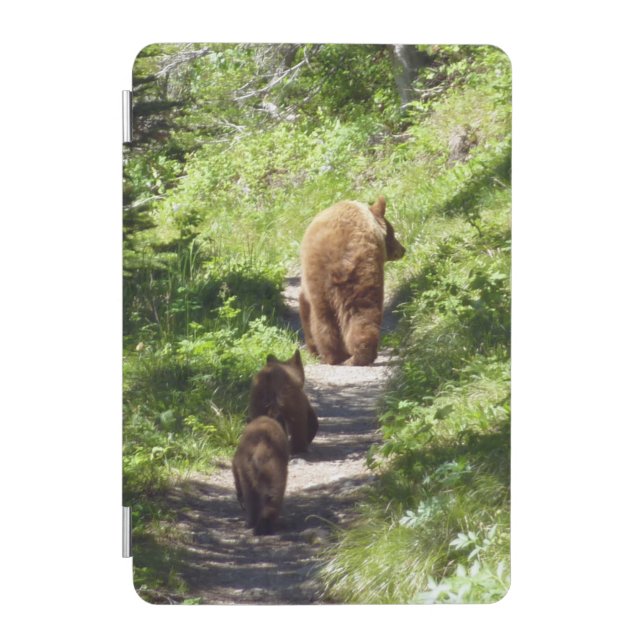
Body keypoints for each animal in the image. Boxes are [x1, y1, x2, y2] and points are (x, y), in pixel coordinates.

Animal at [299, 196, 405, 366]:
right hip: (360, 275)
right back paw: (357, 355)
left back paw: (334, 356)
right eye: (393, 232)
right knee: (362, 312)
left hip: (326, 278)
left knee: (325, 318)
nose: (402, 249)